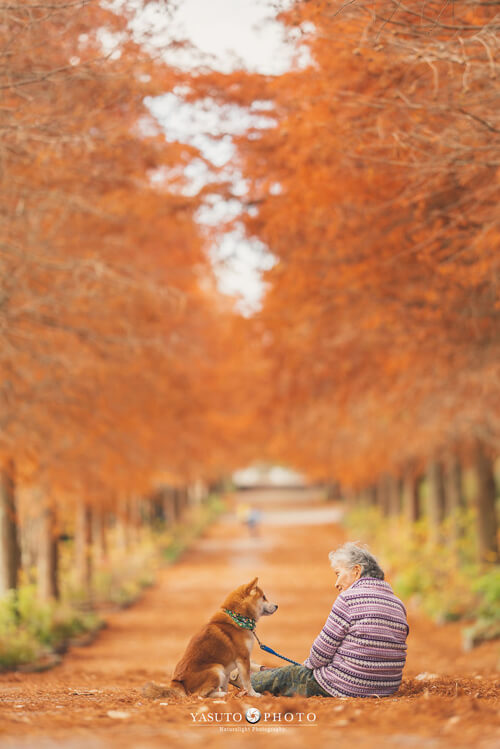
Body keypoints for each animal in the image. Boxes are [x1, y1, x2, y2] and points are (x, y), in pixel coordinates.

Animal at [144, 576, 278, 700]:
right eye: (264, 597)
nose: (276, 606)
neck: (239, 619)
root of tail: (179, 683)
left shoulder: (228, 669)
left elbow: (225, 685)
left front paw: (231, 693)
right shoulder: (243, 658)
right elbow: (247, 681)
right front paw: (253, 694)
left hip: (221, 670)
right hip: (216, 669)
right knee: (200, 695)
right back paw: (221, 694)